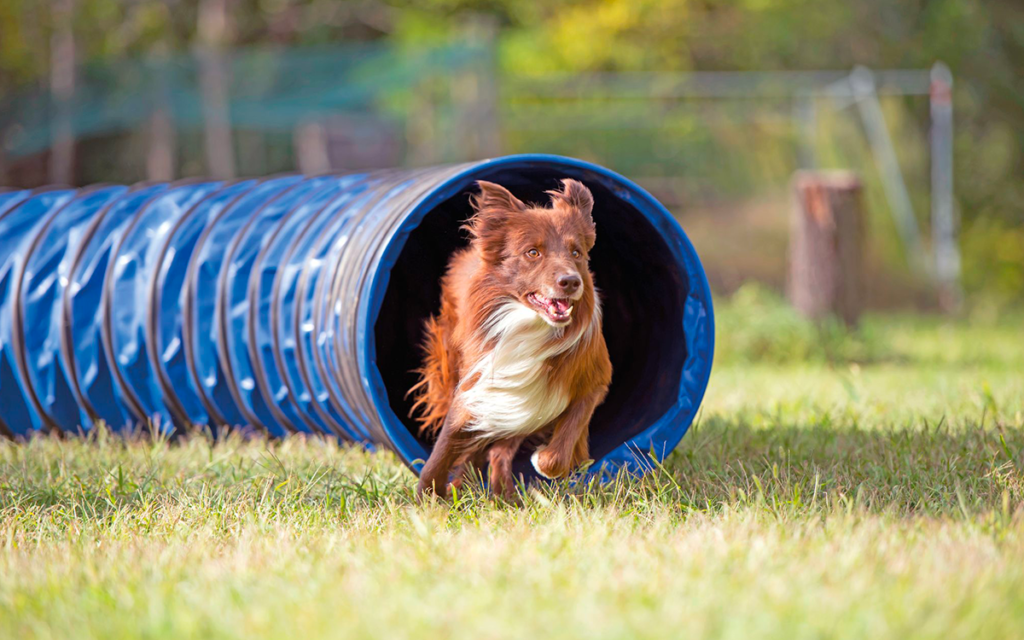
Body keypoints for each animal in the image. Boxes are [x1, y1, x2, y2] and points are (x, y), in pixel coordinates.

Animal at [407, 177, 610, 497]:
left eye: (576, 253)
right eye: (532, 252)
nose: (570, 281)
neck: (529, 324)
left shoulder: (593, 379)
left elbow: (565, 440)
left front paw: (542, 461)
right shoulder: (477, 384)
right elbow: (447, 441)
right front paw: (429, 492)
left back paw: (502, 494)